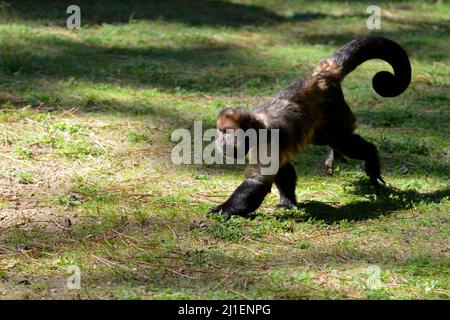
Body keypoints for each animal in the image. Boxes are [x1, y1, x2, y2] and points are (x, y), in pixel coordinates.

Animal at [209, 37, 410, 218]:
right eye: (220, 131)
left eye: (227, 132)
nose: (219, 140)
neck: (257, 128)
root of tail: (320, 74)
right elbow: (283, 169)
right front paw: (288, 201)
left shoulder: (267, 141)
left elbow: (257, 181)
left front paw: (224, 209)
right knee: (326, 139)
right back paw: (335, 154)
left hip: (334, 106)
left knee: (340, 139)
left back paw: (370, 157)